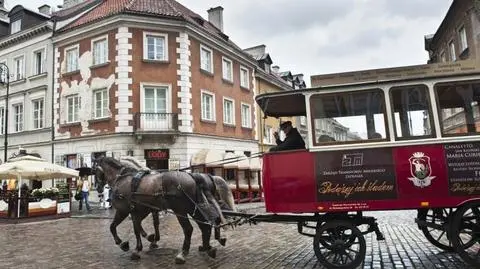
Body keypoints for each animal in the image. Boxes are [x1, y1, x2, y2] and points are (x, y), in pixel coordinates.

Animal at [93, 156, 234, 262]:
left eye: (94, 171)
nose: (99, 189)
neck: (124, 178)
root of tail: (193, 177)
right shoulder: (141, 210)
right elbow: (140, 227)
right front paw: (148, 240)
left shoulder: (124, 210)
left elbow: (115, 227)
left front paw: (125, 244)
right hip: (195, 208)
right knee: (206, 225)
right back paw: (208, 247)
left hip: (181, 210)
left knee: (190, 229)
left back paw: (183, 253)